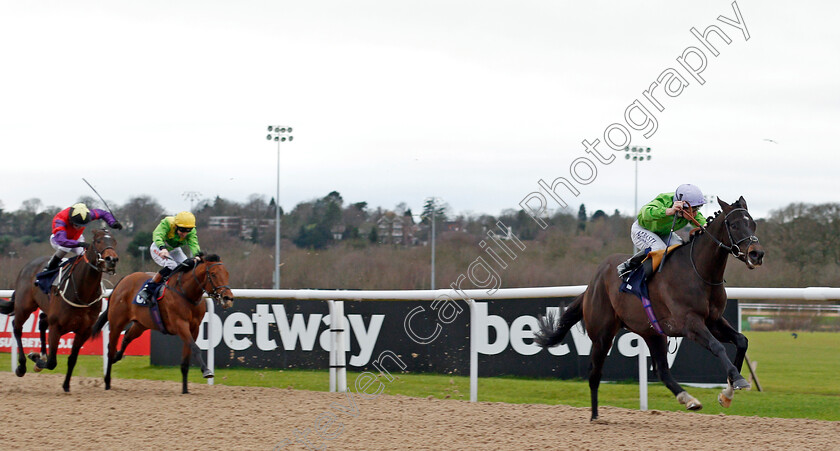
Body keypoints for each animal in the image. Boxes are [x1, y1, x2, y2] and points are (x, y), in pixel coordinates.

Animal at [0, 230, 118, 392]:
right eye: (98, 241)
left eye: (114, 241)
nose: (112, 259)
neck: (82, 292)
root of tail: (27, 267)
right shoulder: (56, 326)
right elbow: (52, 362)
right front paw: (36, 360)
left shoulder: (84, 330)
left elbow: (72, 359)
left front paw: (66, 384)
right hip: (24, 307)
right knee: (17, 328)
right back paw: (22, 366)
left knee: (42, 322)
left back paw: (41, 355)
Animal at [92, 256, 235, 394]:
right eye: (213, 274)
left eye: (227, 274)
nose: (228, 298)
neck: (186, 293)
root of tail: (123, 281)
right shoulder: (180, 324)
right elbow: (195, 348)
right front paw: (206, 371)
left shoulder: (194, 328)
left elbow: (186, 359)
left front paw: (185, 390)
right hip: (117, 322)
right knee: (110, 348)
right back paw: (107, 382)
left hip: (141, 324)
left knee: (127, 336)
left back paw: (117, 357)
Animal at [536, 196, 764, 422]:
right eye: (734, 225)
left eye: (753, 224)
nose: (757, 254)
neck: (698, 272)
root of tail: (592, 283)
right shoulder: (690, 323)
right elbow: (717, 347)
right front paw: (738, 381)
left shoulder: (714, 320)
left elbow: (742, 341)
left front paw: (727, 393)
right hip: (602, 334)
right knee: (595, 373)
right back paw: (595, 417)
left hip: (653, 333)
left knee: (661, 369)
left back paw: (688, 399)